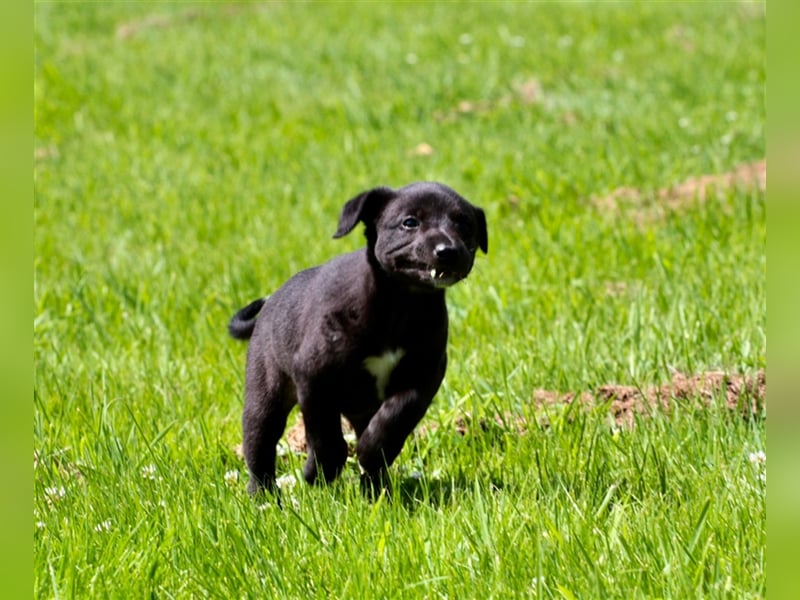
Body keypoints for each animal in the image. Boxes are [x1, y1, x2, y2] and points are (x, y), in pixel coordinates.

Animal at [228, 182, 484, 492]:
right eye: (409, 222)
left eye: (464, 224)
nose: (447, 250)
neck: (401, 305)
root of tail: (268, 306)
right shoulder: (313, 376)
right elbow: (325, 434)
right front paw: (318, 472)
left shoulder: (422, 375)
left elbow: (396, 417)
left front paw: (373, 451)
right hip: (266, 395)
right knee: (259, 445)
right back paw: (263, 495)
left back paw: (376, 487)